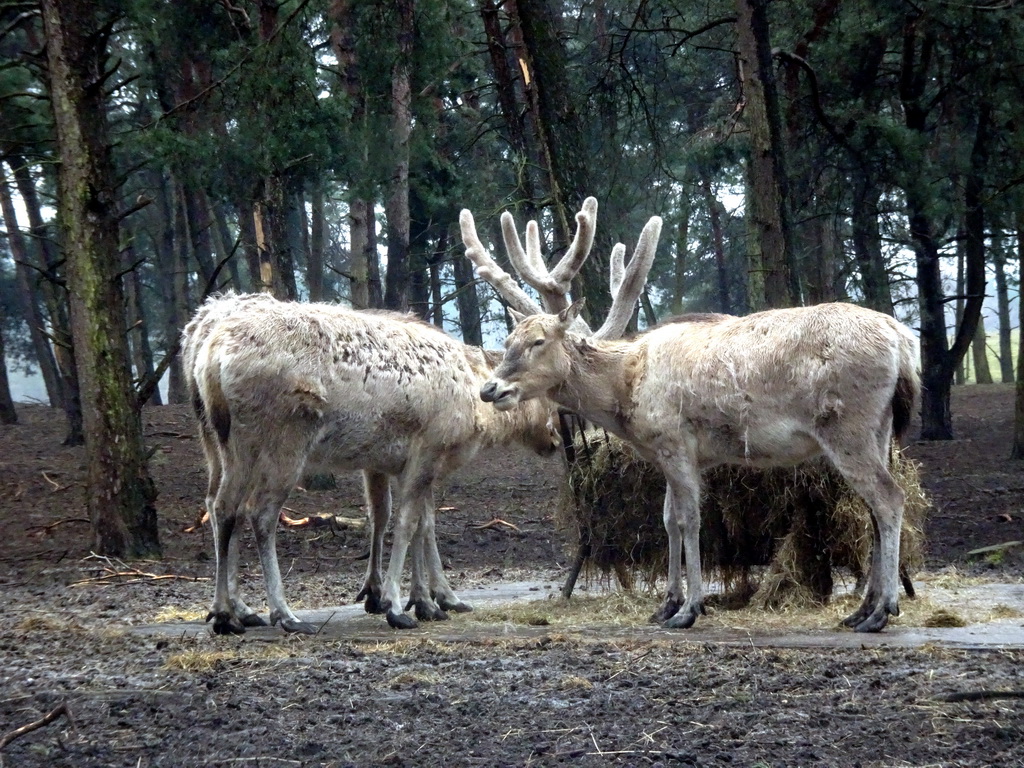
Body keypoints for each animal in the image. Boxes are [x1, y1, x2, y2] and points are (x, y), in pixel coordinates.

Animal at [183, 294, 561, 630]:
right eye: (548, 397)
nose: (556, 440)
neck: (475, 408)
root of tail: (210, 352)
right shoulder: (428, 449)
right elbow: (409, 523)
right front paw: (403, 604)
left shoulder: (399, 462)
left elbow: (416, 521)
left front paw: (426, 601)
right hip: (284, 437)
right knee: (259, 513)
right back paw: (283, 614)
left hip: (223, 439)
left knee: (221, 505)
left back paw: (227, 613)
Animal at [479, 296, 921, 634]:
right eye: (508, 339)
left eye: (537, 341)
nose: (489, 389)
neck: (625, 390)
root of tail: (903, 343)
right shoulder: (671, 453)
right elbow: (668, 519)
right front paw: (666, 604)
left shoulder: (675, 441)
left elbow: (690, 520)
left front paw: (691, 609)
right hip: (879, 430)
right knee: (873, 508)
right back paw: (861, 610)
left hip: (848, 427)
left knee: (889, 498)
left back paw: (883, 611)